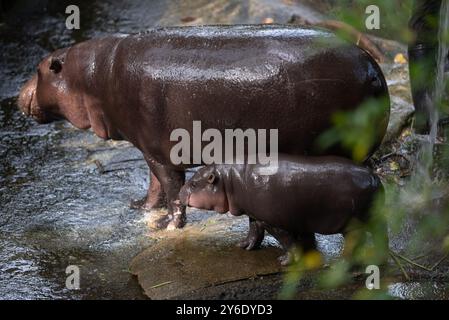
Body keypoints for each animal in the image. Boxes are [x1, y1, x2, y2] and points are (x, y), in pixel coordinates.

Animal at [17, 25, 388, 230]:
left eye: (38, 69)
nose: (16, 97)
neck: (93, 75)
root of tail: (371, 67)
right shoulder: (147, 148)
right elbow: (153, 187)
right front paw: (140, 209)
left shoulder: (159, 153)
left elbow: (170, 189)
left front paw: (167, 226)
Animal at [178, 155, 382, 264]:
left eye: (194, 183)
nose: (179, 192)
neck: (229, 180)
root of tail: (374, 177)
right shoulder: (255, 214)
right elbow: (254, 231)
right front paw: (244, 246)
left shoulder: (273, 221)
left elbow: (286, 240)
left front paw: (285, 261)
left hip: (353, 224)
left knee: (355, 241)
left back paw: (343, 263)